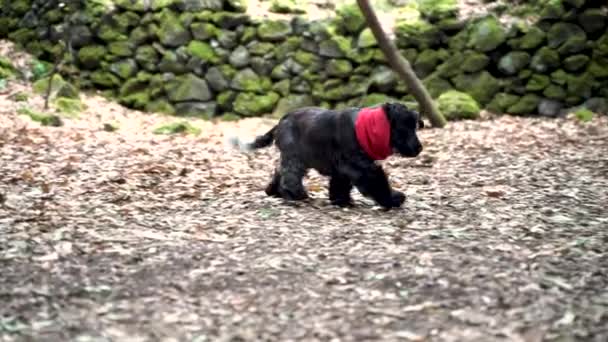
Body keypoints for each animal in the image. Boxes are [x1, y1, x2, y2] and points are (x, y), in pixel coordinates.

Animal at [230, 102, 426, 208]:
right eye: (405, 128)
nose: (419, 148)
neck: (367, 128)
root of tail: (282, 120)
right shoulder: (360, 166)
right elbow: (378, 181)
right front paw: (393, 199)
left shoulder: (343, 167)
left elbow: (340, 185)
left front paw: (341, 201)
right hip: (295, 158)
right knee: (289, 176)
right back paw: (295, 194)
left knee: (280, 171)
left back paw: (274, 191)